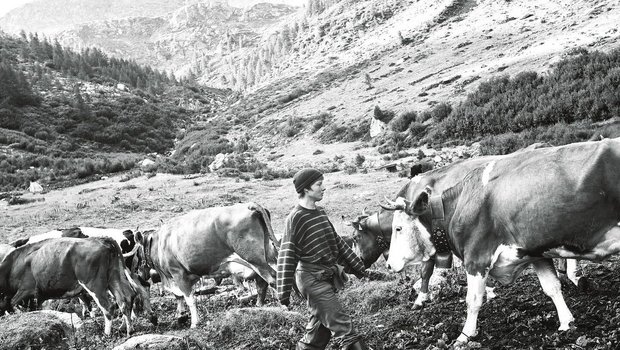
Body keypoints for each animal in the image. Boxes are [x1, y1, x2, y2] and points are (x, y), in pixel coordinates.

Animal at [0, 237, 150, 334]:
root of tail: (103, 240)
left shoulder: (26, 290)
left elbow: (13, 304)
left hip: (94, 284)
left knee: (109, 307)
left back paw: (107, 333)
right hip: (114, 278)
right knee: (125, 299)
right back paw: (127, 329)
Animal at [139, 202, 280, 328]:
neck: (159, 243)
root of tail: (248, 205)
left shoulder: (178, 273)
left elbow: (189, 298)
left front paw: (194, 322)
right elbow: (179, 296)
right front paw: (180, 316)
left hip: (254, 258)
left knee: (273, 278)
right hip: (264, 256)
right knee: (263, 282)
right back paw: (260, 305)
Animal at [382, 137, 620, 344]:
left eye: (398, 228)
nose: (389, 264)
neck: (461, 204)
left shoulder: (476, 258)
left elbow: (473, 300)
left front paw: (464, 336)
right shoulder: (535, 253)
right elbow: (552, 287)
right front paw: (566, 323)